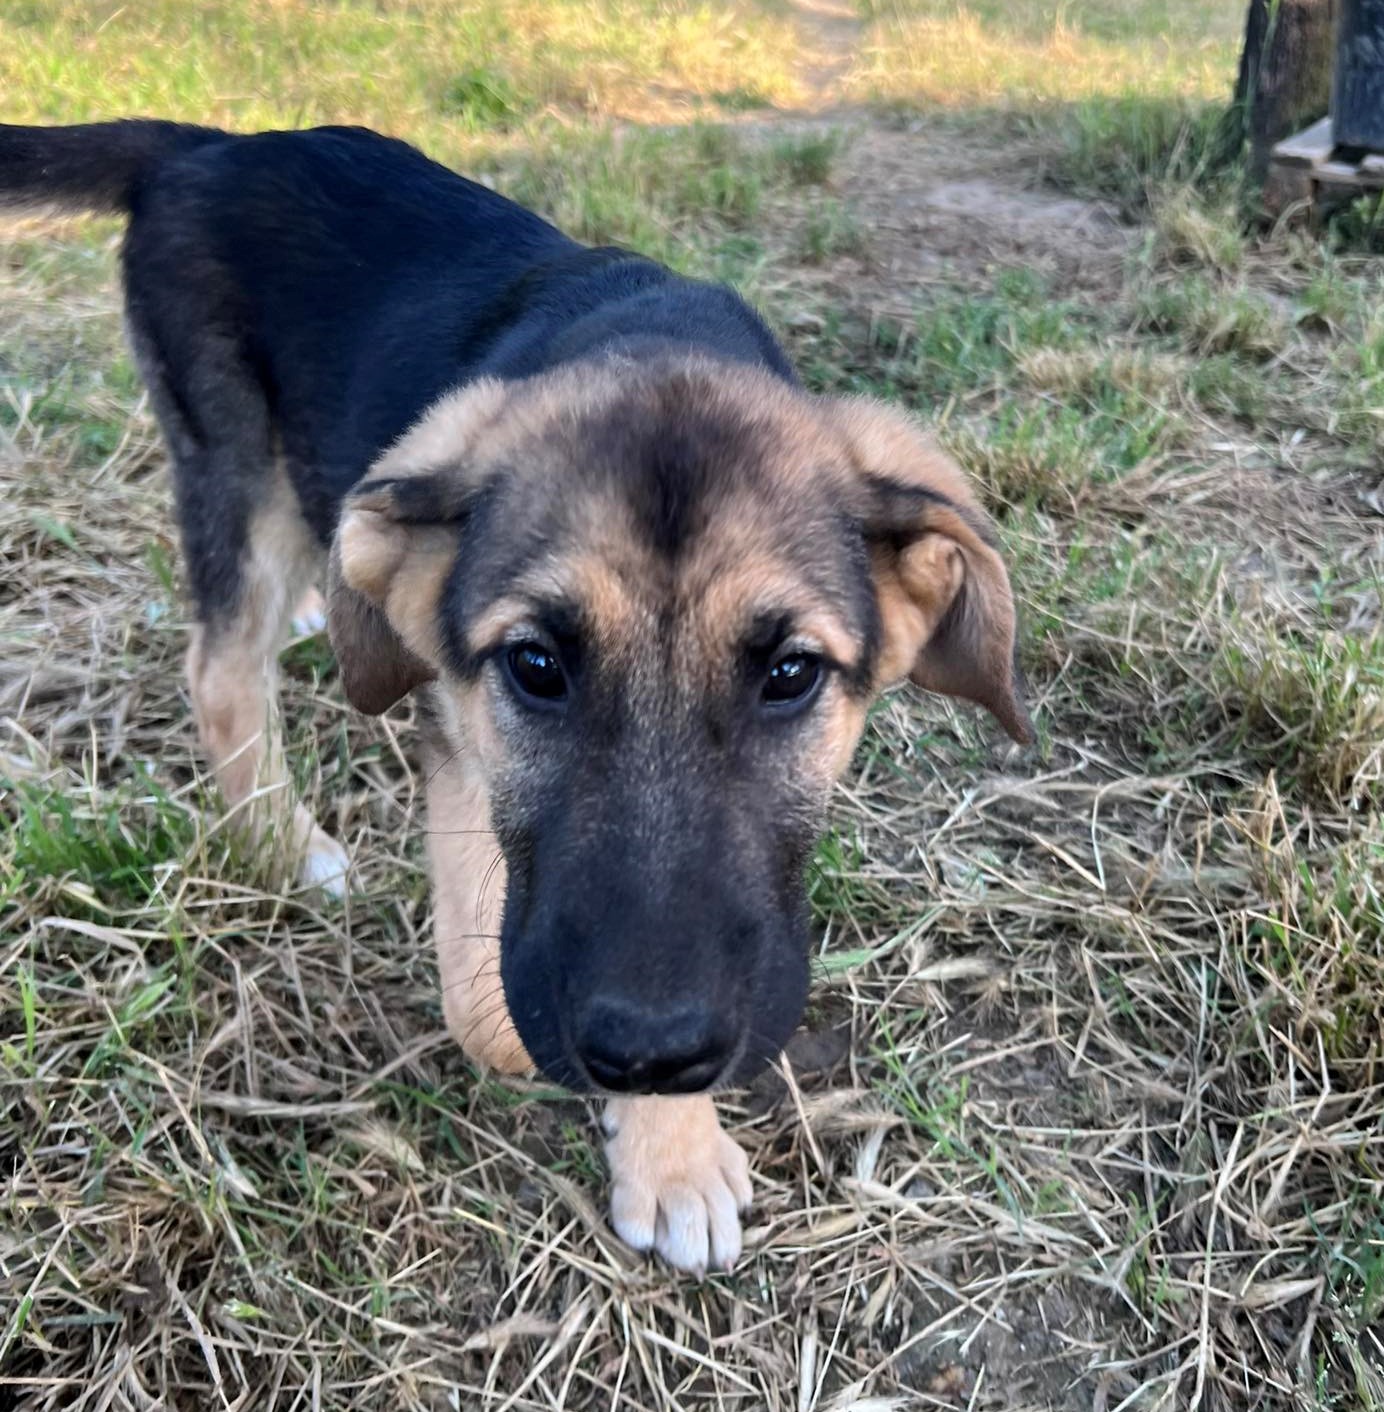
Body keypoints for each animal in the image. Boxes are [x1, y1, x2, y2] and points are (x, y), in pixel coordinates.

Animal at [0, 118, 1033, 1270]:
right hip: (231, 459)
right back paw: (282, 839)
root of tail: (210, 145)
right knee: (222, 674)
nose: (651, 1048)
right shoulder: (462, 749)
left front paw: (667, 1143)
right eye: (536, 667)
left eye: (790, 674)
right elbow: (486, 1005)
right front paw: (655, 1138)